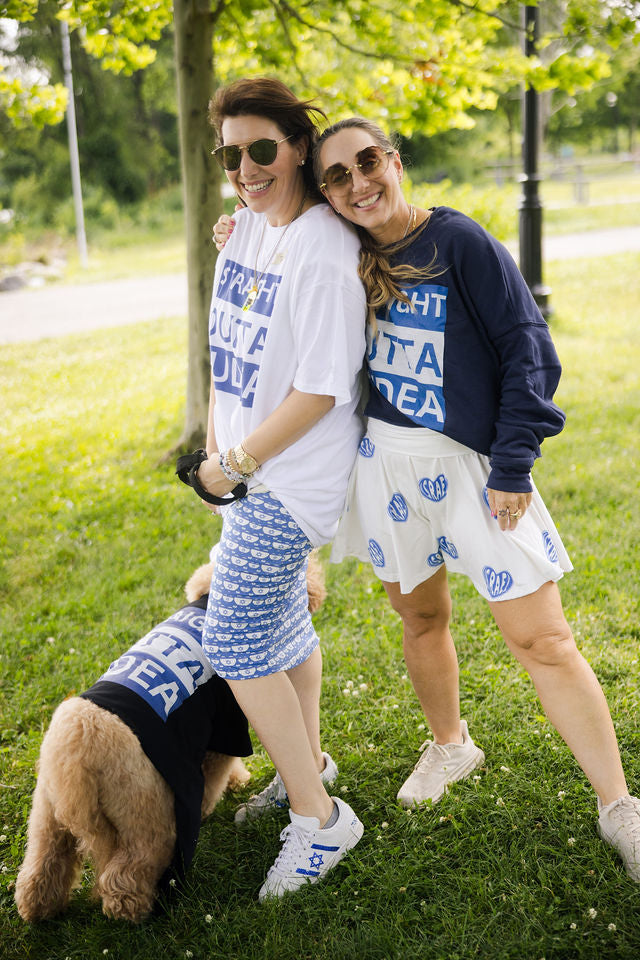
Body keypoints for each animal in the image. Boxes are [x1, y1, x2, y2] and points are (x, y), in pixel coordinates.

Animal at [15, 548, 328, 924]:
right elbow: (218, 772)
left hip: (47, 816)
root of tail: (77, 754)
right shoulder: (224, 729)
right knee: (126, 873)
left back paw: (37, 910)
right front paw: (225, 791)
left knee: (43, 867)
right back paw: (132, 911)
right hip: (148, 815)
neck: (205, 603)